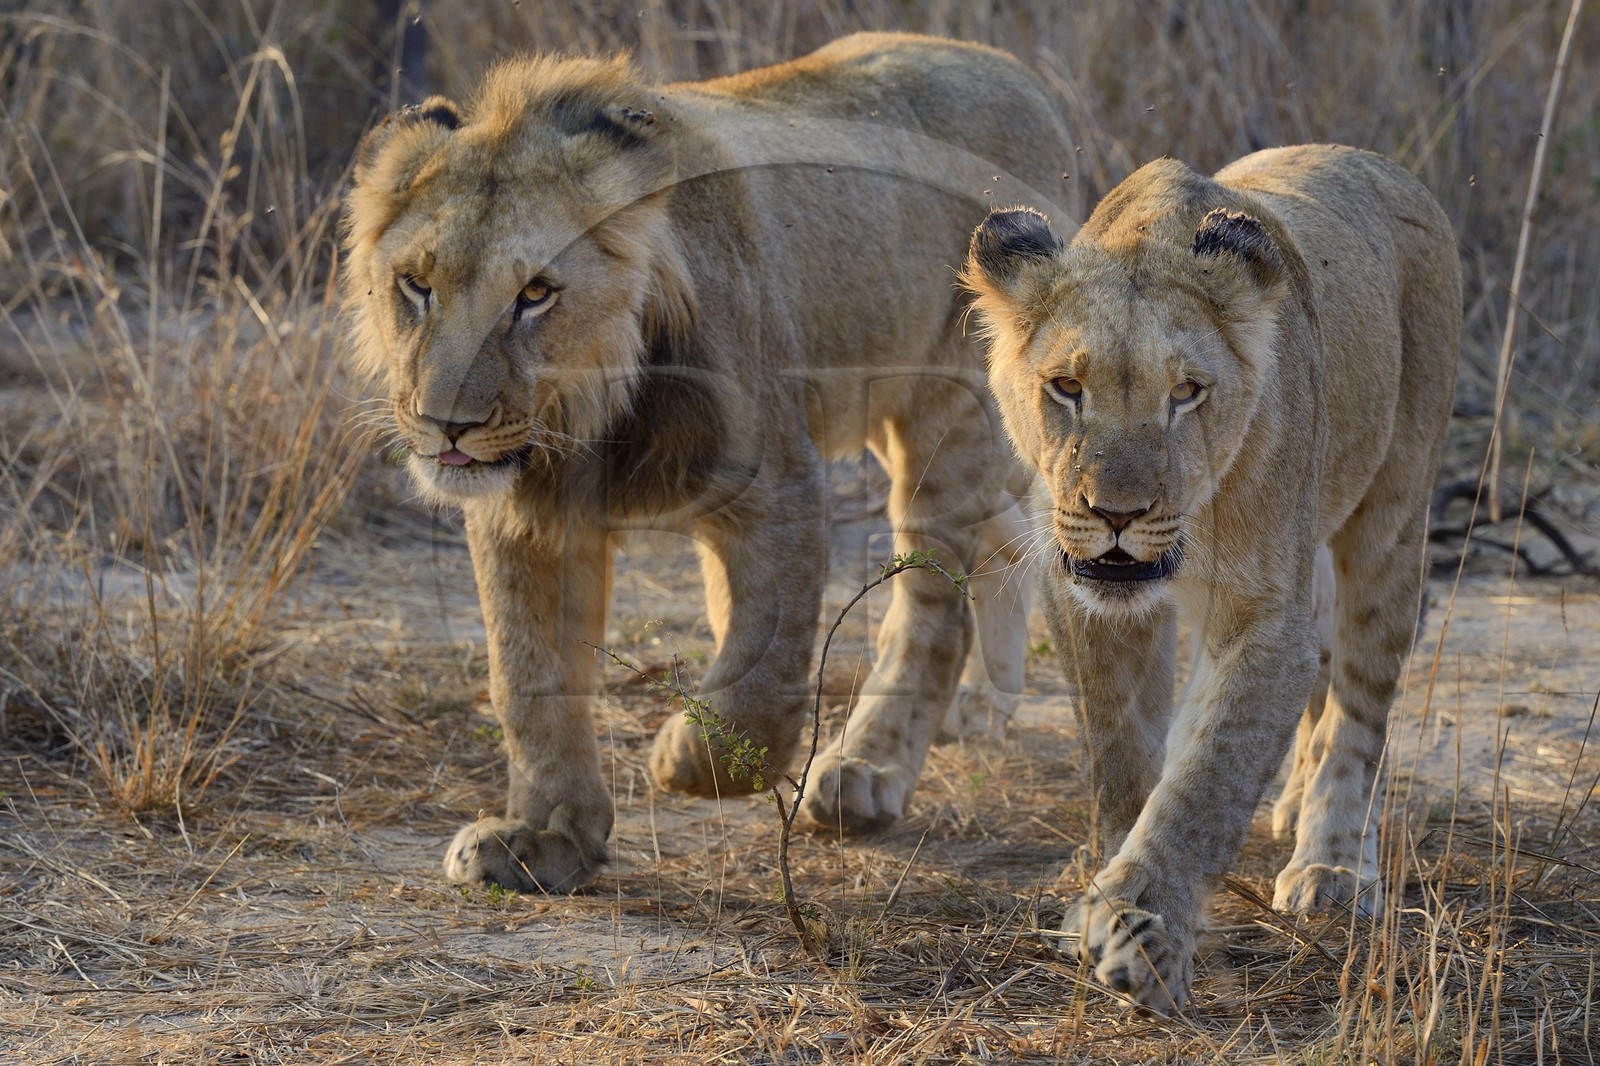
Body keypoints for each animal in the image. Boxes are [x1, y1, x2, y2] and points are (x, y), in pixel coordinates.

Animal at [341, 33, 1076, 892]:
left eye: (535, 294)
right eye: (415, 285)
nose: (447, 426)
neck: (590, 415)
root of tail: (1025, 78)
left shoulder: (781, 486)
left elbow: (763, 662)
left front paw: (693, 758)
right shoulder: (525, 517)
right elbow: (527, 676)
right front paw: (542, 835)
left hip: (947, 409)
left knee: (935, 604)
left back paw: (864, 775)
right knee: (1004, 543)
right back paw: (984, 709)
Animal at [962, 145, 1459, 1011]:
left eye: (1186, 392)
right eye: (1067, 387)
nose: (1116, 514)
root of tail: (1384, 166)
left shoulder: (1264, 615)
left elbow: (1207, 777)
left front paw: (1143, 929)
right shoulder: (1086, 599)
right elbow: (1126, 757)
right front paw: (1107, 900)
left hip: (1393, 518)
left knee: (1360, 707)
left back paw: (1331, 864)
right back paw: (1292, 809)